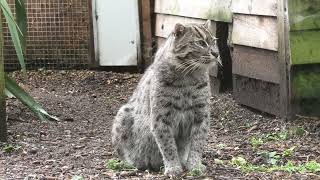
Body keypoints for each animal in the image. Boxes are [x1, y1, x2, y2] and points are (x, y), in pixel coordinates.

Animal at [112, 20, 220, 176]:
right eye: (201, 42)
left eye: (214, 41)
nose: (216, 54)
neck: (188, 76)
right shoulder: (161, 117)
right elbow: (168, 145)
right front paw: (173, 167)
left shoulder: (201, 115)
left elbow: (197, 143)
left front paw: (194, 165)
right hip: (122, 113)